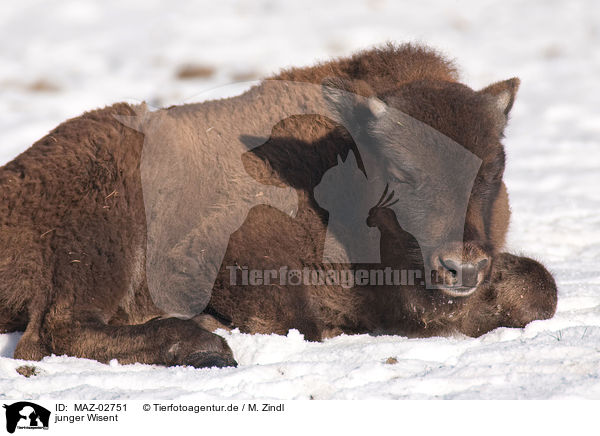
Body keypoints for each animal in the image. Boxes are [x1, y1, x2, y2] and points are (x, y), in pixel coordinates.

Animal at [0, 43, 556, 368]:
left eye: (492, 170)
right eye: (402, 173)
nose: (463, 267)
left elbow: (541, 288)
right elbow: (301, 321)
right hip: (106, 229)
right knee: (54, 330)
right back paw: (205, 343)